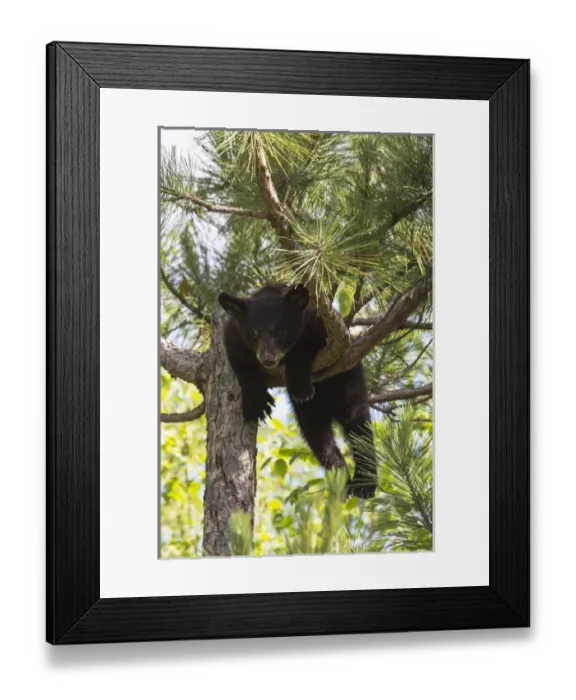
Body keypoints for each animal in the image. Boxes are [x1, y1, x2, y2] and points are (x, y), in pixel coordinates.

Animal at [218, 284, 377, 499]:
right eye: (254, 334)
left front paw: (300, 387)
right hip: (311, 414)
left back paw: (365, 484)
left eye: (279, 332)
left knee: (357, 423)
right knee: (318, 436)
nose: (267, 359)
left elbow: (304, 350)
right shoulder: (234, 337)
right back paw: (341, 475)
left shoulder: (320, 327)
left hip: (348, 380)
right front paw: (257, 403)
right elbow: (240, 364)